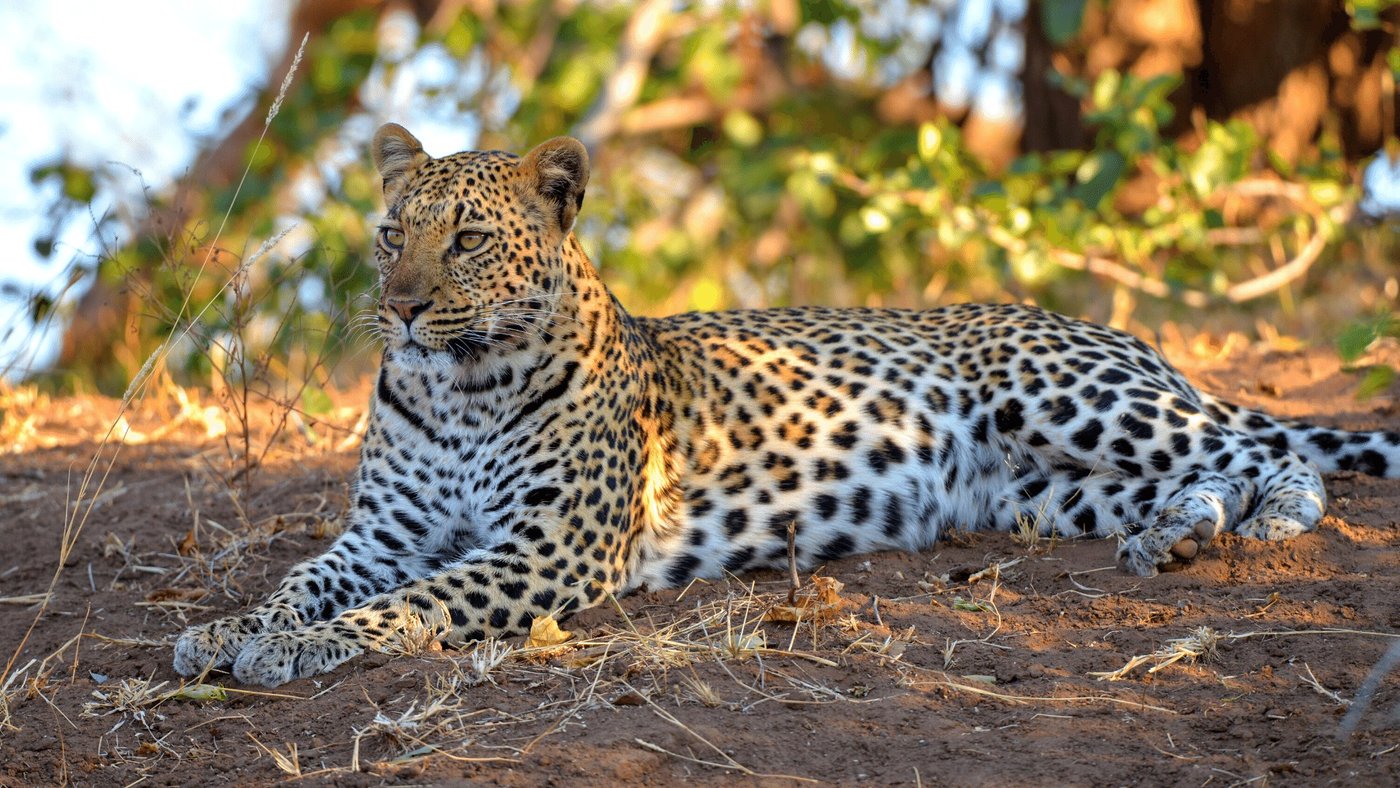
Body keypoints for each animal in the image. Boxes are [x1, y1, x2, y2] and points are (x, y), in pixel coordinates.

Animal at [174, 123, 1400, 688]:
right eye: (392, 233)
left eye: (467, 239)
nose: (400, 306)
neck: (460, 385)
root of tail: (1122, 334)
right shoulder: (382, 531)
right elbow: (304, 577)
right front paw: (229, 628)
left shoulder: (546, 551)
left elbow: (414, 599)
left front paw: (296, 648)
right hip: (1050, 490)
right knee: (1203, 474)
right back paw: (1177, 538)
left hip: (1075, 398)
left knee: (1271, 452)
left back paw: (1269, 524)